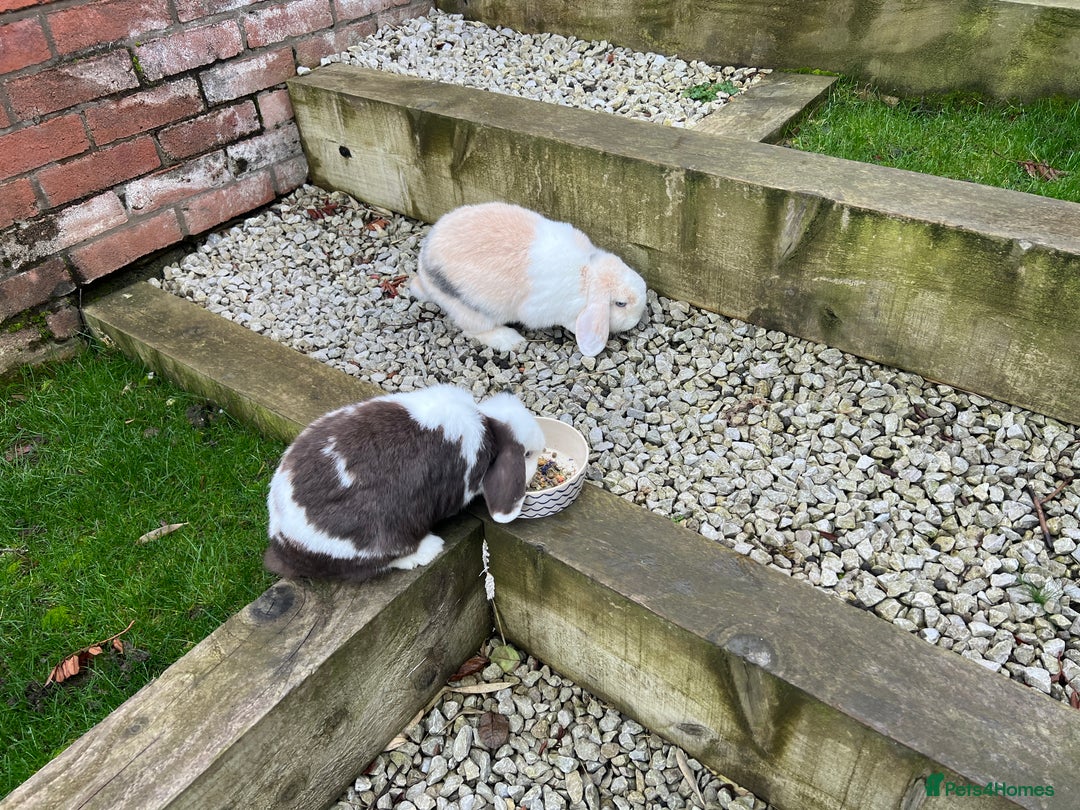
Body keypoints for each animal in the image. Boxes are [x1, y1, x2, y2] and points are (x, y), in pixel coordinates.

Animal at [264, 384, 544, 582]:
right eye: (527, 454)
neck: (488, 425)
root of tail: (282, 540)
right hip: (377, 536)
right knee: (375, 564)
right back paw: (428, 550)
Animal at [411, 202, 647, 357]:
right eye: (620, 303)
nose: (638, 317)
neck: (588, 274)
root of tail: (424, 271)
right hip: (473, 311)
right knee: (473, 330)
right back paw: (510, 340)